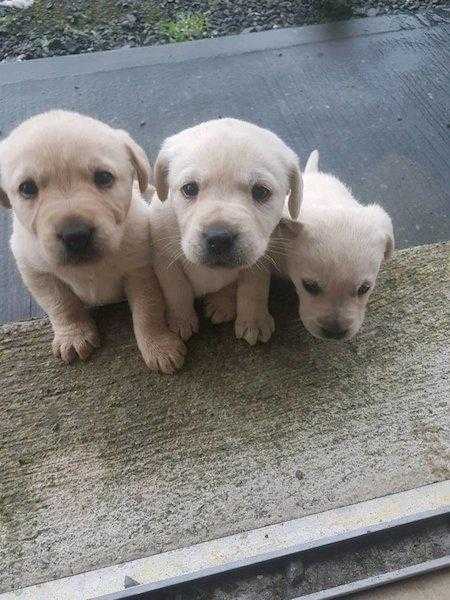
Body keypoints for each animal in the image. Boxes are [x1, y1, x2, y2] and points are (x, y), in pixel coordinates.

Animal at [0, 110, 185, 372]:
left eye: (104, 177)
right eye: (27, 188)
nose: (75, 235)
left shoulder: (140, 270)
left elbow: (147, 310)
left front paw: (158, 344)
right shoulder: (37, 272)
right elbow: (61, 305)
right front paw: (73, 334)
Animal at [150, 118, 302, 342]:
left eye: (261, 192)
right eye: (189, 189)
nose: (219, 238)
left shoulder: (259, 260)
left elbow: (253, 290)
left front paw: (253, 320)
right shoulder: (165, 259)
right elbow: (177, 291)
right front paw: (180, 319)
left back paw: (223, 303)